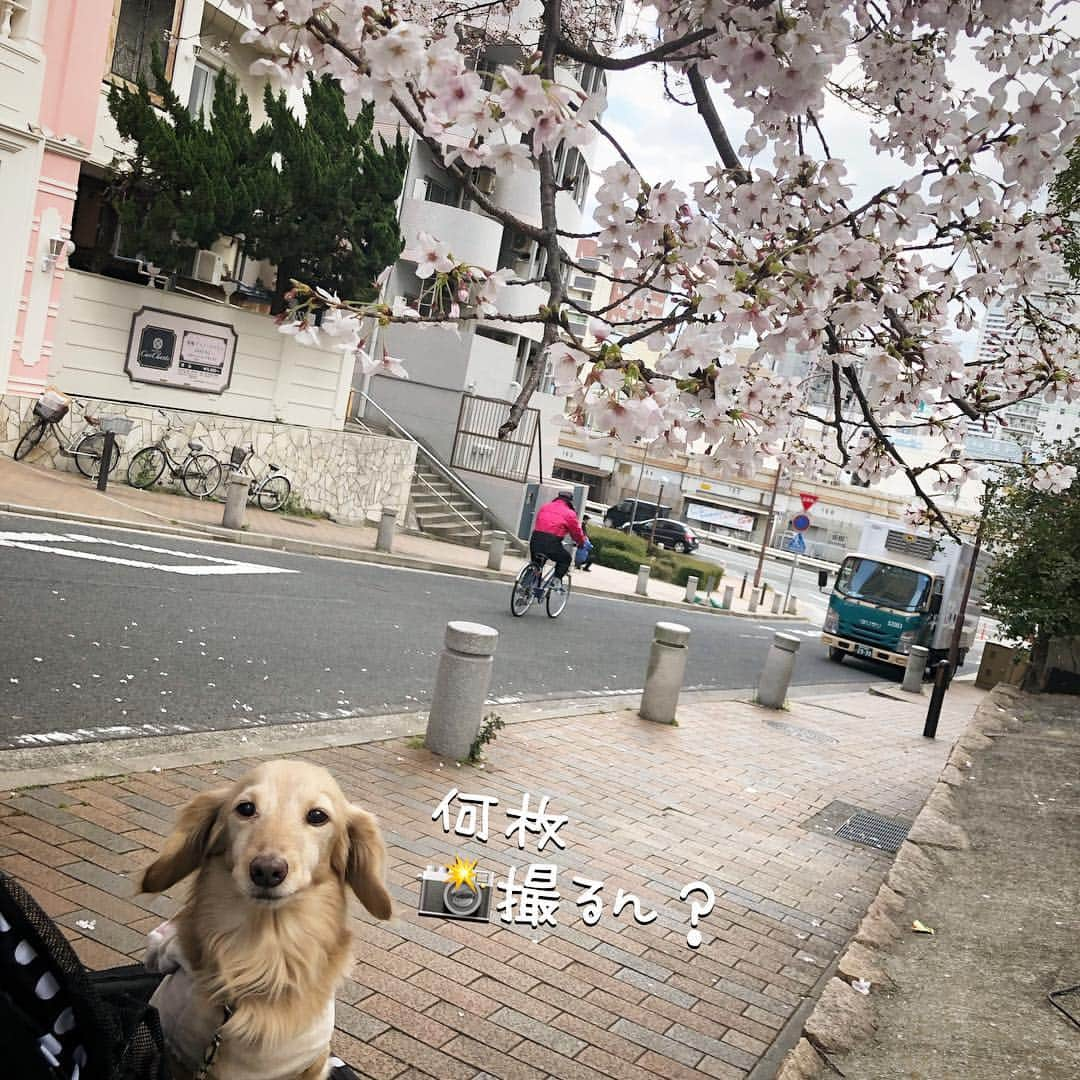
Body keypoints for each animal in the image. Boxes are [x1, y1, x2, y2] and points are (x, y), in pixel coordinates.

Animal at [138, 760, 393, 1080]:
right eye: (246, 808)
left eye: (318, 816)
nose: (267, 871)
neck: (262, 954)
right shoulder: (176, 1052)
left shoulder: (310, 1063)